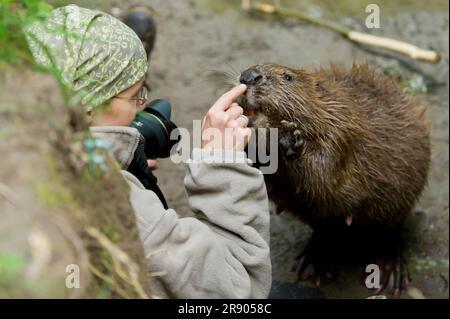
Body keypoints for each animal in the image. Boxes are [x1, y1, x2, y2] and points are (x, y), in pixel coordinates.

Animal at [239, 63, 432, 298]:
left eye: (288, 77)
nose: (248, 76)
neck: (329, 107)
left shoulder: (341, 134)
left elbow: (326, 177)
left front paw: (289, 140)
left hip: (400, 202)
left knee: (390, 233)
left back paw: (390, 273)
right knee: (323, 229)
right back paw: (313, 262)